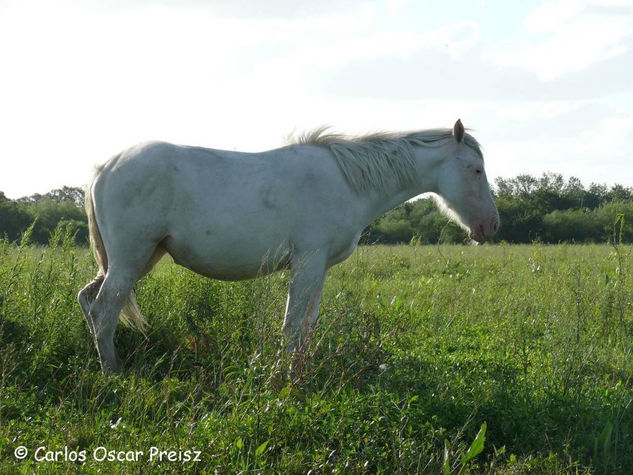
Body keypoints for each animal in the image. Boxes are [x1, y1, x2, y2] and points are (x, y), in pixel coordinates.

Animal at [76, 121, 498, 374]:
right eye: (476, 170)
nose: (491, 226)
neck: (347, 182)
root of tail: (104, 167)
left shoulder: (320, 268)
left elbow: (307, 324)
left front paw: (301, 369)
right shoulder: (307, 263)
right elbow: (292, 324)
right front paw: (286, 376)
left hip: (136, 260)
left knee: (88, 298)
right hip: (129, 262)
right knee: (104, 310)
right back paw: (113, 373)